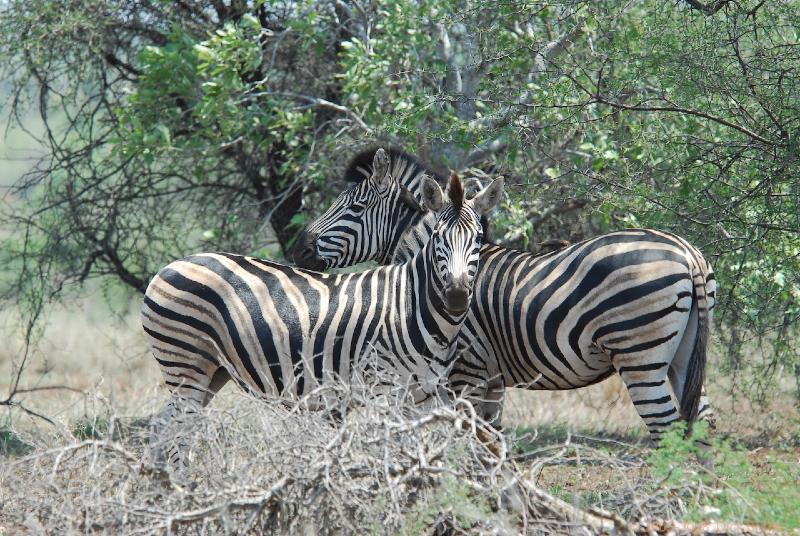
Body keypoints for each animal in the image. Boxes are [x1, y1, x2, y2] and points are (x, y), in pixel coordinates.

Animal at [143, 149, 504, 476]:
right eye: (438, 240)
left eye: (478, 239)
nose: (300, 250)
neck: (410, 298)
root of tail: (169, 266)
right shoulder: (392, 391)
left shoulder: (426, 395)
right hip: (186, 365)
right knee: (175, 438)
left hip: (210, 373)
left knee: (163, 432)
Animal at [296, 148, 720, 440]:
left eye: (356, 207)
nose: (301, 249)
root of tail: (687, 252)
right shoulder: (492, 379)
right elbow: (493, 438)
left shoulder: (465, 373)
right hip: (683, 354)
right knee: (703, 428)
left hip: (640, 357)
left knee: (668, 432)